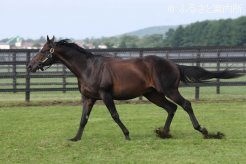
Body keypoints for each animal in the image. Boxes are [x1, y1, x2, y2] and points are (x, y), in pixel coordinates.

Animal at [27, 36, 241, 141]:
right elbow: (83, 119)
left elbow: (114, 116)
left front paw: (127, 135)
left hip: (169, 90)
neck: (88, 68)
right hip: (153, 94)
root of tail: (174, 64)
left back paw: (203, 131)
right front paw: (75, 138)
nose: (30, 66)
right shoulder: (89, 98)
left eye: (44, 51)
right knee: (171, 108)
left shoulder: (106, 95)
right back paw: (163, 133)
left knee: (186, 104)